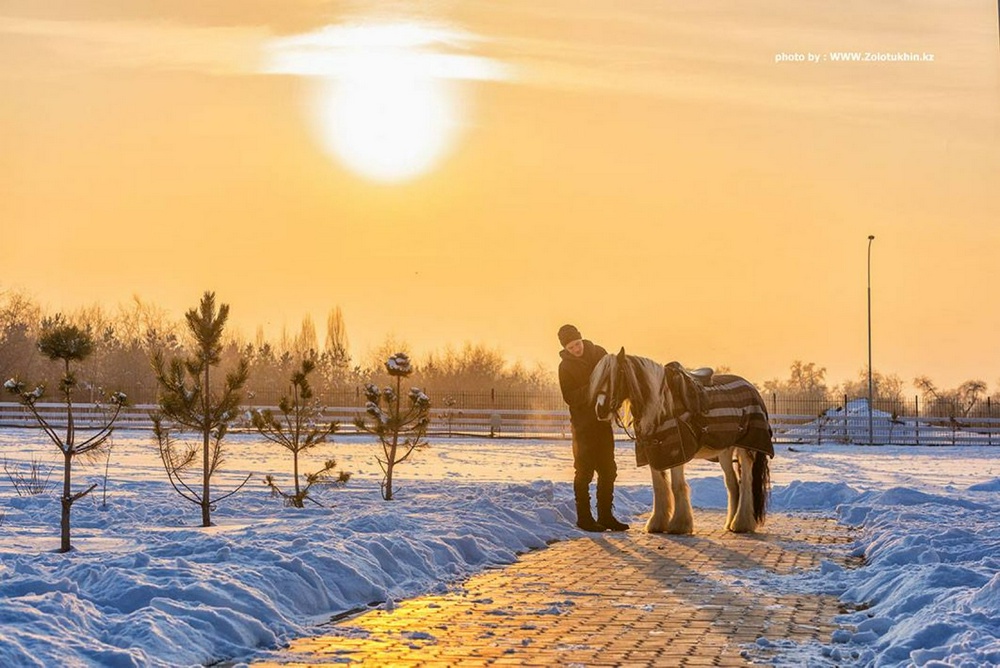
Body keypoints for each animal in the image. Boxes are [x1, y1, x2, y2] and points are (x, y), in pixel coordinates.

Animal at [584, 350, 772, 532]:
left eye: (619, 373)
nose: (600, 410)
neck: (661, 406)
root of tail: (752, 389)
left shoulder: (676, 453)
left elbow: (677, 486)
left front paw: (680, 525)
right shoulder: (654, 452)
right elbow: (659, 487)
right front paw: (657, 523)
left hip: (746, 449)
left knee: (746, 482)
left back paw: (742, 523)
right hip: (725, 451)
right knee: (732, 484)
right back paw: (730, 523)